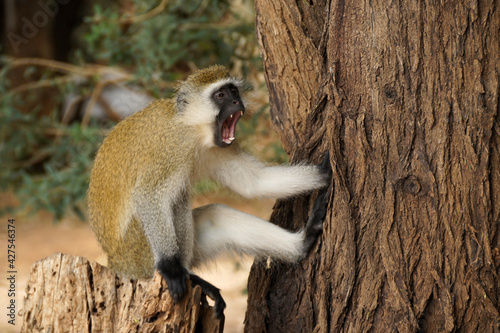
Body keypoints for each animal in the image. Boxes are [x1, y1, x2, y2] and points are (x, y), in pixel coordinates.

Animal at [89, 64, 332, 316]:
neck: (193, 128)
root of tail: (117, 264)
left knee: (213, 214)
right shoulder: (173, 148)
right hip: (138, 254)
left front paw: (324, 172)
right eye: (220, 95)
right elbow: (148, 195)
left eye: (234, 91)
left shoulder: (218, 148)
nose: (236, 101)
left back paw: (302, 242)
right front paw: (170, 268)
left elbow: (252, 182)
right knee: (174, 200)